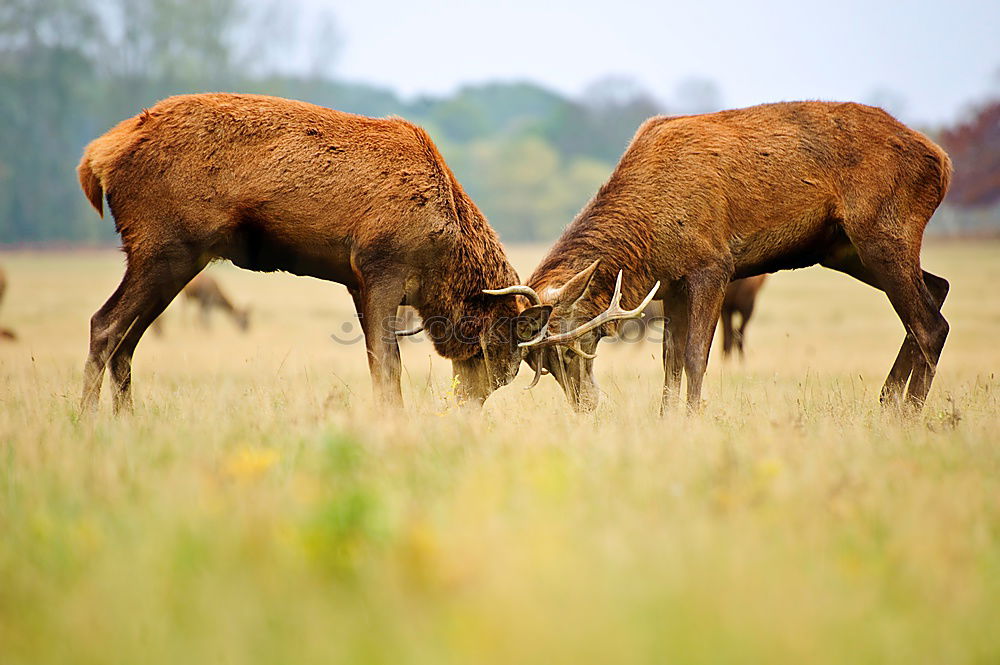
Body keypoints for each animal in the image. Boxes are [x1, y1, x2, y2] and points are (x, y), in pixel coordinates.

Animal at [78, 92, 536, 416]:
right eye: (498, 353)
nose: (465, 409)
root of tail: (97, 158)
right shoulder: (381, 265)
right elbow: (389, 364)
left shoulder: (357, 282)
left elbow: (375, 361)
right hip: (164, 245)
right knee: (105, 323)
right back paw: (88, 420)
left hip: (173, 256)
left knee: (127, 337)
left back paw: (126, 419)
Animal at [492, 101, 952, 412]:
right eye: (543, 365)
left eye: (575, 351)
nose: (587, 405)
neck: (648, 244)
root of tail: (943, 162)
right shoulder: (672, 284)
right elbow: (670, 360)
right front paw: (666, 420)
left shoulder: (712, 266)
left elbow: (696, 356)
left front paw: (693, 419)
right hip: (845, 249)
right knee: (938, 288)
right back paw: (887, 402)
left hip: (883, 229)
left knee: (931, 324)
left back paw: (908, 414)